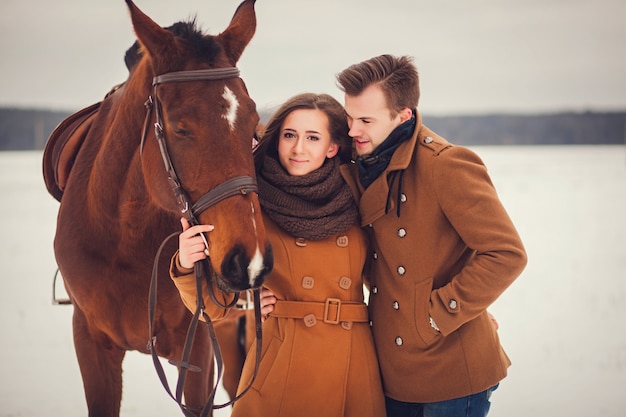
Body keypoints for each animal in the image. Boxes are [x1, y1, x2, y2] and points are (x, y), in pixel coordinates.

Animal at [46, 1, 270, 414]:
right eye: (180, 128)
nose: (250, 260)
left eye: (252, 125)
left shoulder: (199, 350)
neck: (124, 238)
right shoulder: (90, 341)